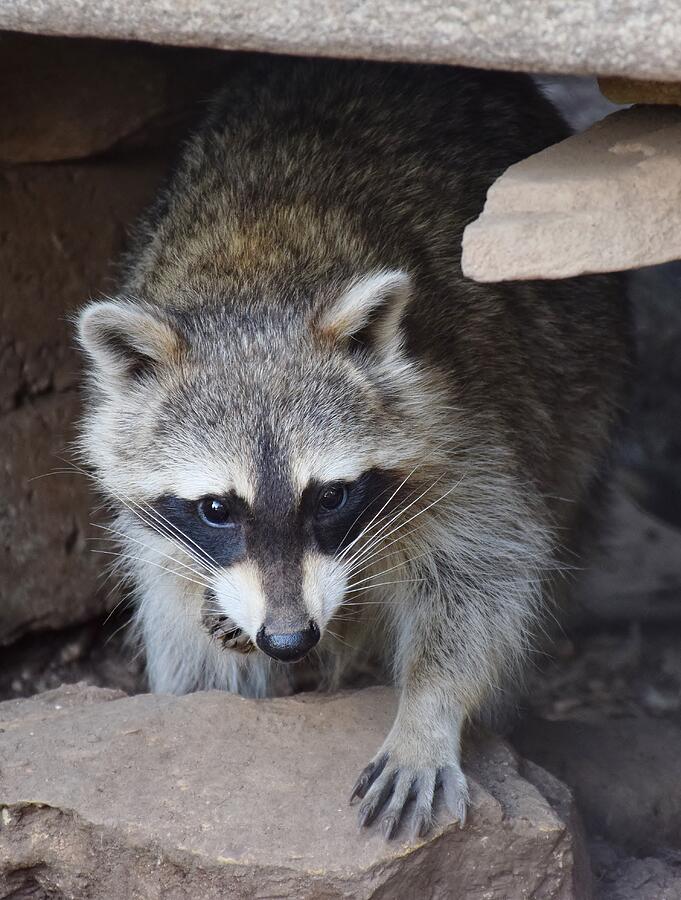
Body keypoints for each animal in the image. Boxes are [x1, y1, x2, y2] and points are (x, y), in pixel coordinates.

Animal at [77, 58, 628, 836]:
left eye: (331, 497)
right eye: (216, 508)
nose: (288, 640)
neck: (257, 283)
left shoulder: (470, 420)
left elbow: (485, 576)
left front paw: (428, 710)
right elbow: (178, 597)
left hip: (584, 395)